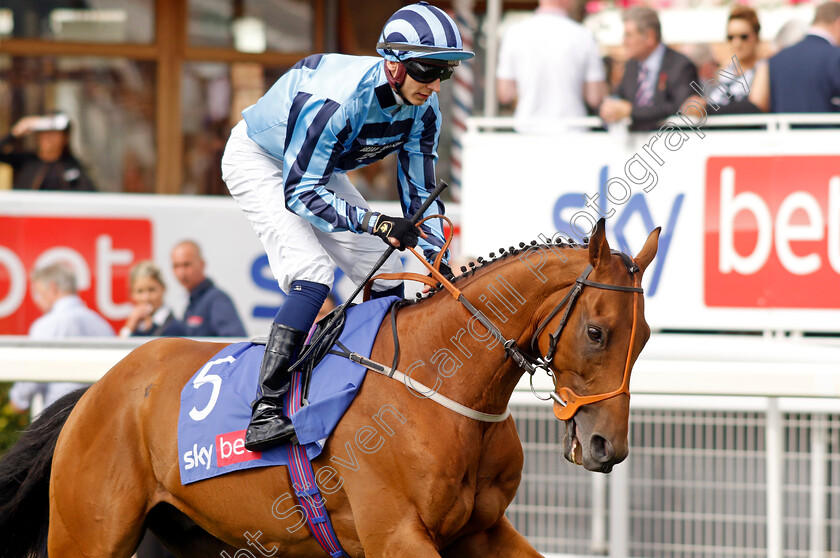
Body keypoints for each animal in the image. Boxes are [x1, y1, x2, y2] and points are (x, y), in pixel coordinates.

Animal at [1, 221, 664, 556]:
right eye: (598, 332)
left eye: (647, 339)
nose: (607, 446)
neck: (439, 386)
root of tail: (96, 391)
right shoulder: (395, 535)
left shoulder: (483, 530)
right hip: (88, 533)